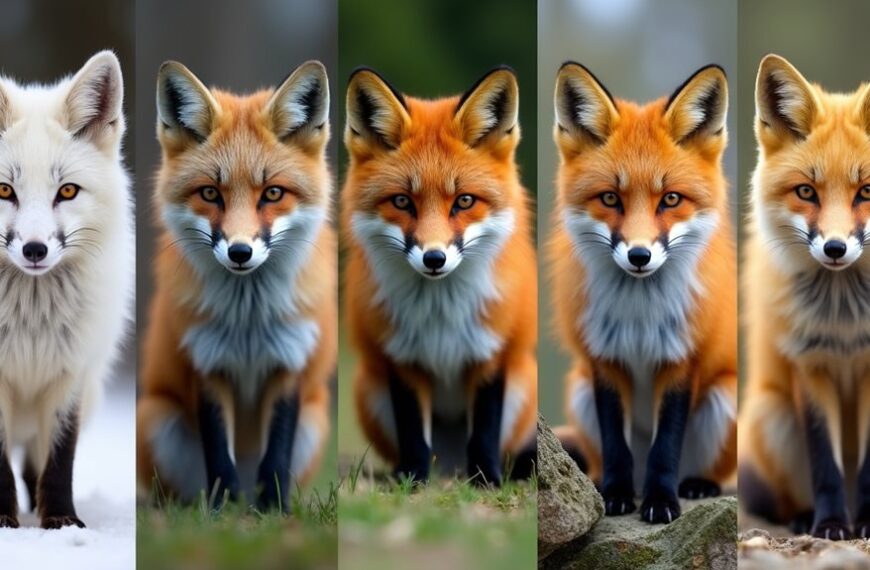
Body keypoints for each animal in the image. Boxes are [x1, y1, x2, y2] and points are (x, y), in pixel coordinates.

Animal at [0, 51, 132, 528]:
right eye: (4, 190)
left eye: (68, 191)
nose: (35, 249)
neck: (29, 325)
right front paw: (2, 519)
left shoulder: (71, 372)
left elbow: (59, 459)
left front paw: (60, 519)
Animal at [136, 60, 336, 511]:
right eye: (210, 193)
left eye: (273, 193)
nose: (240, 252)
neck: (249, 319)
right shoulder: (206, 362)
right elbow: (218, 453)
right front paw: (221, 510)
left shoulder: (291, 361)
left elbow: (276, 453)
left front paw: (274, 509)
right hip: (157, 419)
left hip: (315, 422)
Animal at [341, 67, 537, 486]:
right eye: (402, 201)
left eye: (464, 201)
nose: (434, 258)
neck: (440, 313)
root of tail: (450, 464)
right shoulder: (401, 357)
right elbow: (414, 431)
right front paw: (413, 479)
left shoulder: (492, 351)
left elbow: (485, 429)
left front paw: (486, 480)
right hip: (368, 388)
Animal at [549, 62, 737, 524]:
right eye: (610, 198)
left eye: (670, 199)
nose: (639, 255)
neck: (639, 316)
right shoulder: (603, 358)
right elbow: (616, 443)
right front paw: (617, 495)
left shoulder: (682, 358)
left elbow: (665, 446)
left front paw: (661, 501)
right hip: (578, 390)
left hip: (724, 398)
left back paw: (696, 485)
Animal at [739, 55, 870, 540]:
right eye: (806, 192)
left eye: (866, 192)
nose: (834, 248)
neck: (845, 319)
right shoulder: (808, 363)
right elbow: (825, 464)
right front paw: (831, 524)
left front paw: (866, 522)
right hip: (773, 418)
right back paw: (803, 518)